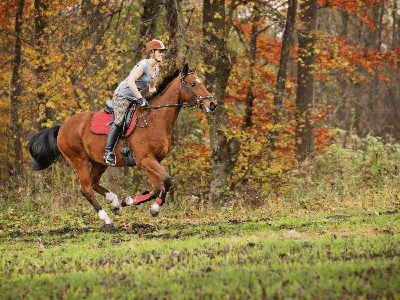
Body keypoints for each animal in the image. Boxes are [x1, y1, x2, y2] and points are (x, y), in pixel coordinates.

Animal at [28, 63, 216, 225]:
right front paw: (138, 203)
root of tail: (62, 127)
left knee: (93, 183)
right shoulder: (145, 159)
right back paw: (107, 219)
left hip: (99, 161)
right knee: (87, 189)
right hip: (78, 160)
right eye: (193, 84)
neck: (154, 120)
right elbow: (165, 181)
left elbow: (157, 186)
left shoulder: (154, 160)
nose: (212, 104)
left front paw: (145, 206)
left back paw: (114, 202)